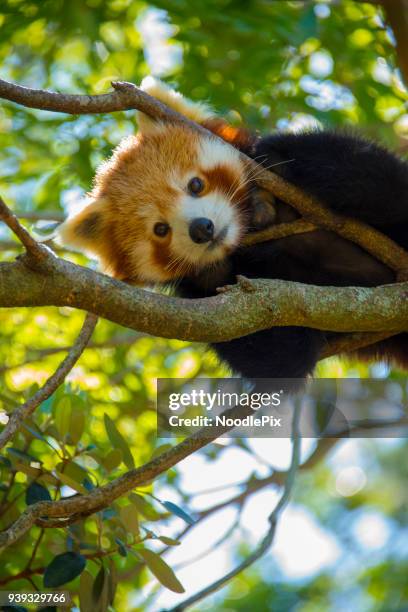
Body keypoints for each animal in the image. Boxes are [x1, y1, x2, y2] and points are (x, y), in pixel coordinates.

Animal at [59, 78, 408, 380]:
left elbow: (377, 177)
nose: (202, 229)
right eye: (160, 229)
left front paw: (274, 160)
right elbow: (278, 356)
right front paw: (215, 270)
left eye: (195, 185)